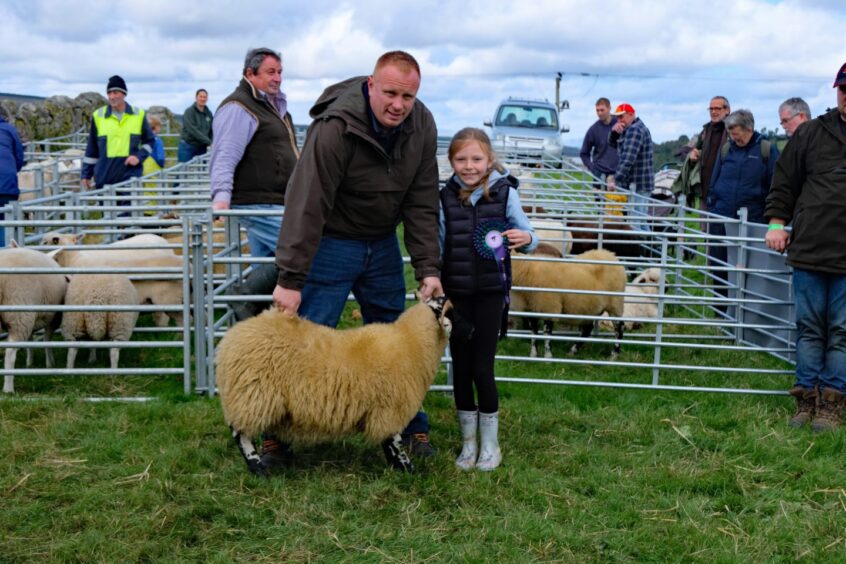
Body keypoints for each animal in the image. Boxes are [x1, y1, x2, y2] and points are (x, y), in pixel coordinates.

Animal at [0, 247, 68, 392]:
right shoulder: (52, 317)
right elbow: (47, 340)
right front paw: (50, 363)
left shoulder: (33, 318)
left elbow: (30, 341)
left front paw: (30, 363)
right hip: (19, 313)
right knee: (10, 354)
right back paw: (8, 388)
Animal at [217, 296, 458, 476]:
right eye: (451, 311)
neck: (412, 341)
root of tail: (230, 338)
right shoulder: (389, 410)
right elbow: (394, 444)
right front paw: (409, 470)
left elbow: (389, 444)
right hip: (253, 394)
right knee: (241, 434)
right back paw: (258, 468)